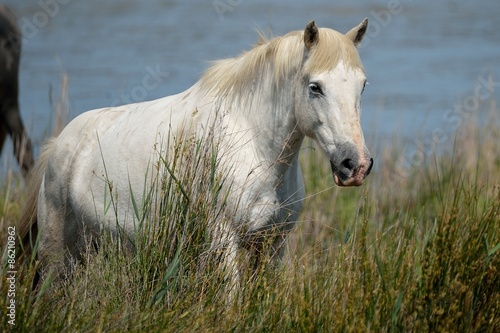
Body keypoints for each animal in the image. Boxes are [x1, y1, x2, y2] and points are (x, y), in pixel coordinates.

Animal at [19, 18, 372, 280]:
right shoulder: (224, 241)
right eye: (315, 87)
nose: (354, 164)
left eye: (362, 85)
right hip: (56, 252)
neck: (254, 148)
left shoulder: (273, 244)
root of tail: (60, 145)